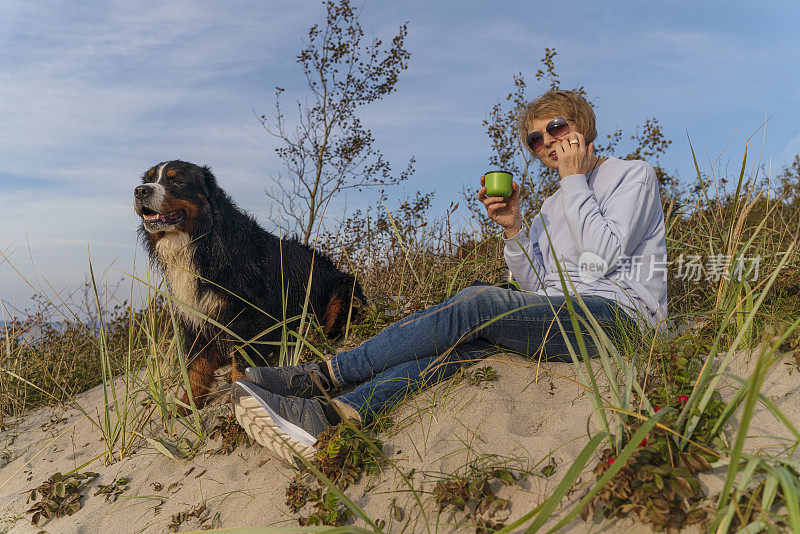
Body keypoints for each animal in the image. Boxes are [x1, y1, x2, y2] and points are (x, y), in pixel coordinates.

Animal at [134, 161, 366, 408]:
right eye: (150, 179)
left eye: (176, 181)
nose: (140, 191)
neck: (201, 243)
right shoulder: (196, 316)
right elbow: (196, 369)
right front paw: (186, 407)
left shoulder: (246, 316)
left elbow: (243, 362)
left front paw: (238, 397)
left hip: (343, 287)